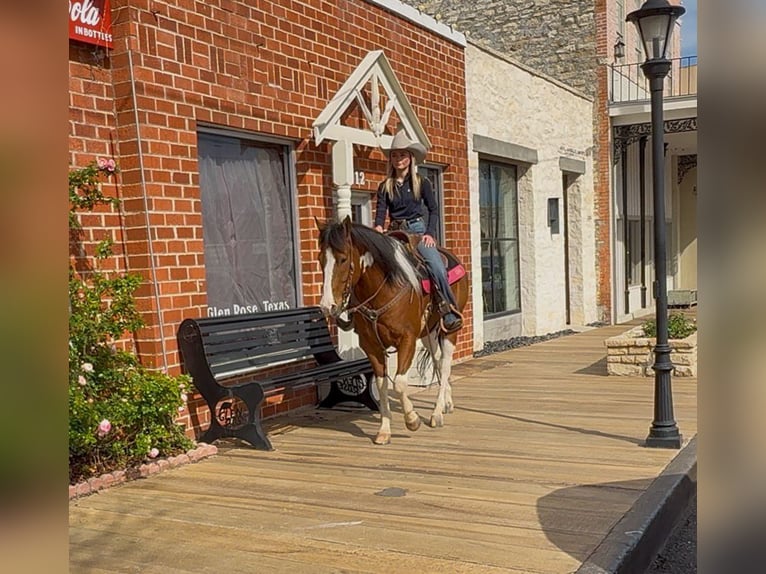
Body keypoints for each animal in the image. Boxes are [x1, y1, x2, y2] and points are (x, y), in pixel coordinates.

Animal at [316, 216, 469, 445]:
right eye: (320, 260)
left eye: (343, 259)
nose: (327, 306)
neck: (385, 286)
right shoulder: (371, 346)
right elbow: (381, 385)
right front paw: (384, 431)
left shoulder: (407, 340)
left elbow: (398, 383)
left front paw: (412, 420)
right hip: (429, 334)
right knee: (438, 361)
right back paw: (446, 403)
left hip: (449, 330)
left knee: (444, 365)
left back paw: (436, 414)